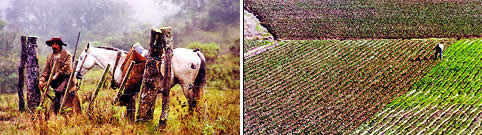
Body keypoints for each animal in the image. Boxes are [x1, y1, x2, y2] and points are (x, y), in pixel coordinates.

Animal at [74, 43, 206, 122]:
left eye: (81, 58)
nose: (76, 74)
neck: (120, 62)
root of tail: (195, 52)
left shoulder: (129, 92)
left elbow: (130, 110)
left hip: (186, 86)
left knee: (192, 103)